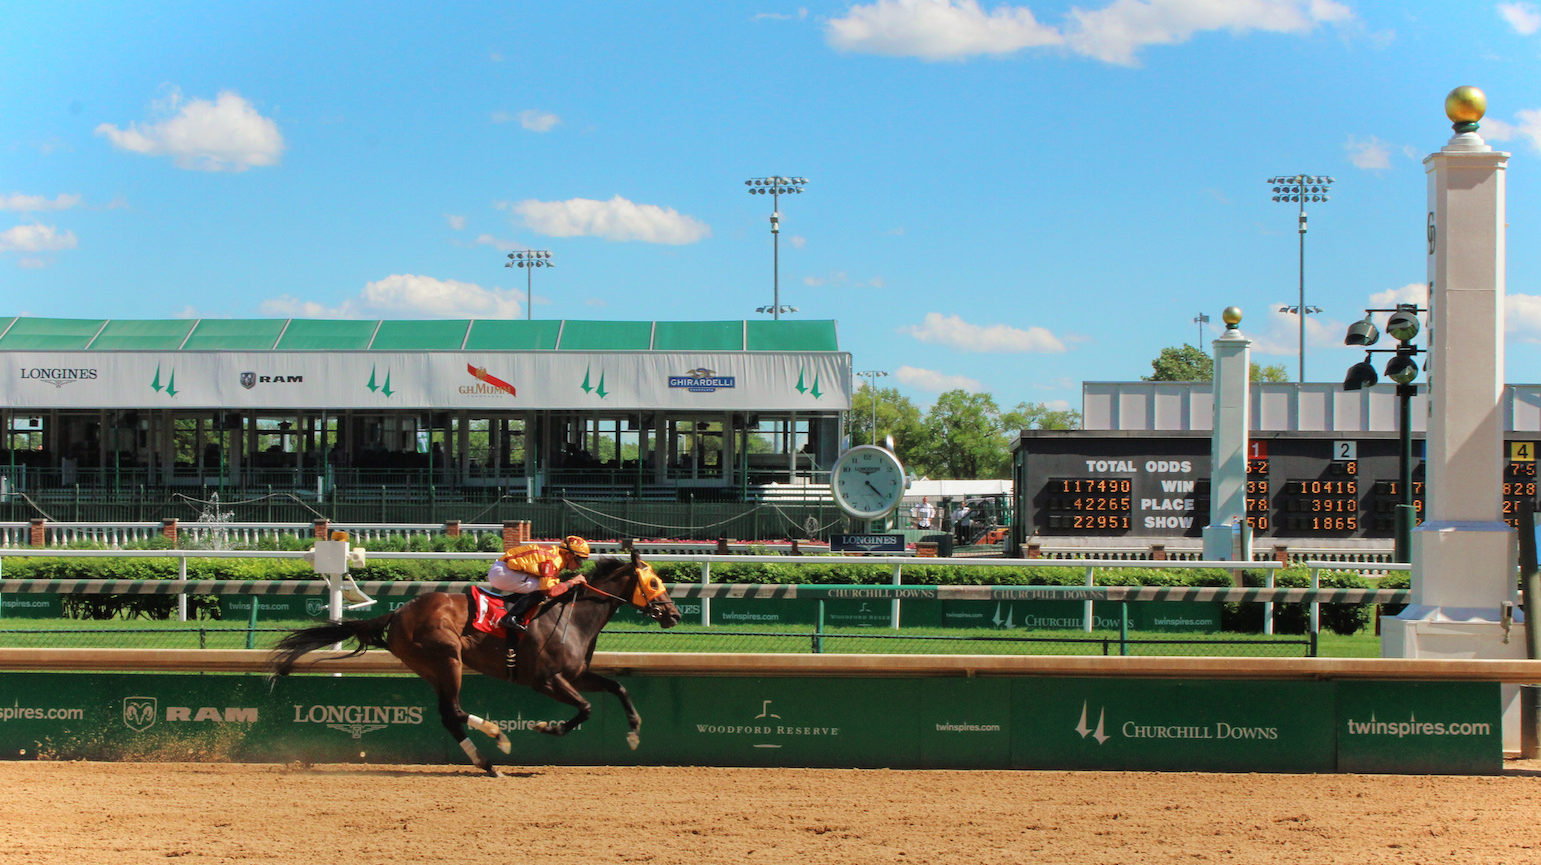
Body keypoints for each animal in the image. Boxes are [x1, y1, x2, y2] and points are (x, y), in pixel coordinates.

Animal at [271, 548, 681, 770]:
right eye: (654, 583)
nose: (674, 614)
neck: (574, 616)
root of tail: (398, 611)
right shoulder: (546, 679)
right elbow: (585, 709)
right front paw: (547, 728)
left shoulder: (577, 674)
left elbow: (618, 687)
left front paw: (633, 733)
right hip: (447, 658)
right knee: (453, 711)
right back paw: (497, 741)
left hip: (432, 667)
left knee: (449, 714)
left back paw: (490, 757)